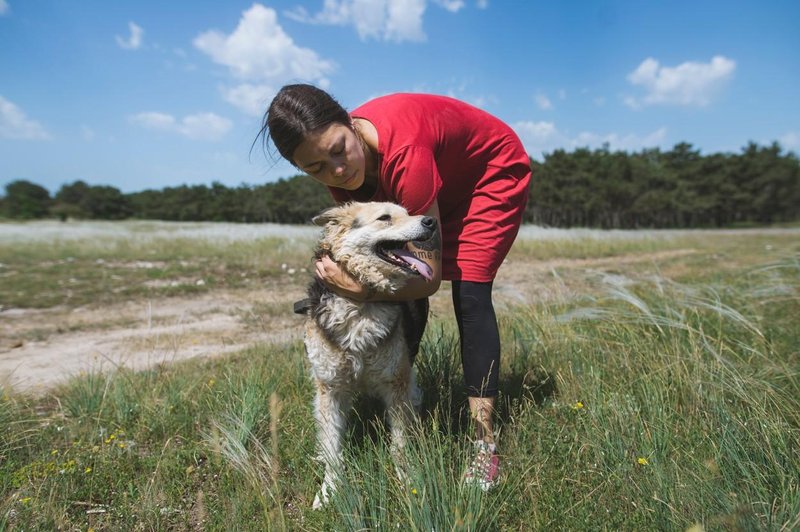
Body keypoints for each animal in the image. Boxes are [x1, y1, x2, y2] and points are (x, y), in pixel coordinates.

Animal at [296, 202, 440, 510]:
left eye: (407, 213)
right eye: (385, 218)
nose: (431, 222)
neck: (359, 304)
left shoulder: (396, 384)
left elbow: (399, 445)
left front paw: (407, 481)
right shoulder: (329, 388)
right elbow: (332, 448)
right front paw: (328, 491)